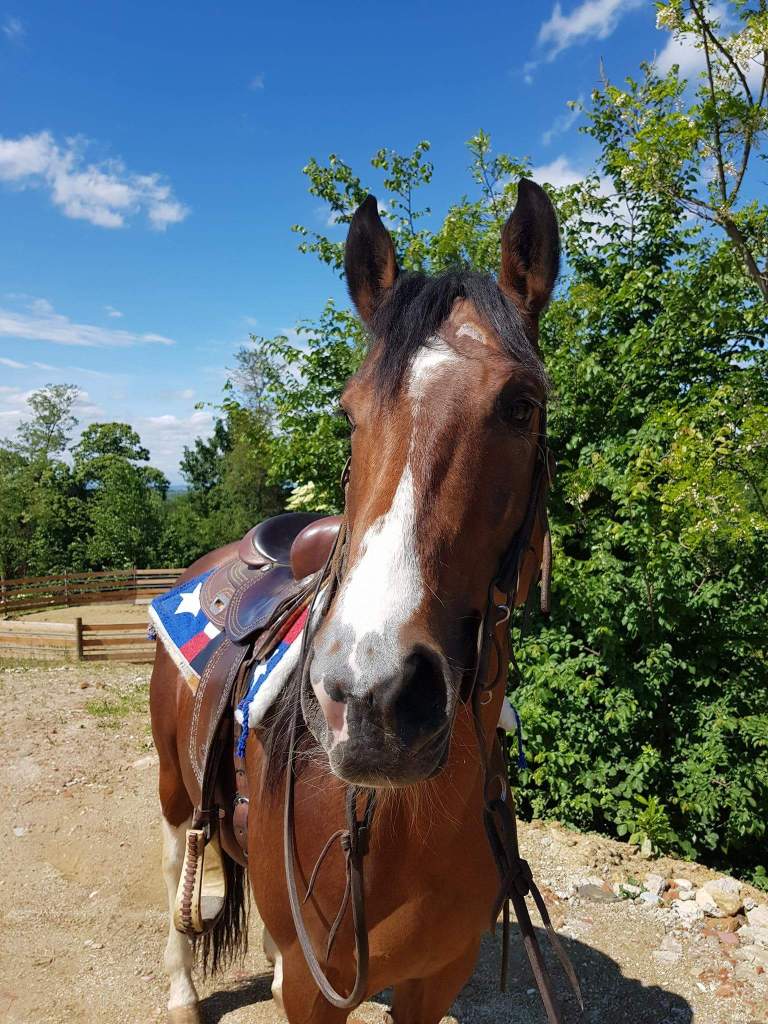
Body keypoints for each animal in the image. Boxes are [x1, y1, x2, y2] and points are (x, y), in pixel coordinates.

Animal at [150, 178, 568, 1024]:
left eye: (522, 405)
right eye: (348, 414)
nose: (373, 699)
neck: (409, 819)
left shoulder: (436, 977)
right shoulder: (314, 990)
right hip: (175, 790)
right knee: (176, 866)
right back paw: (180, 992)